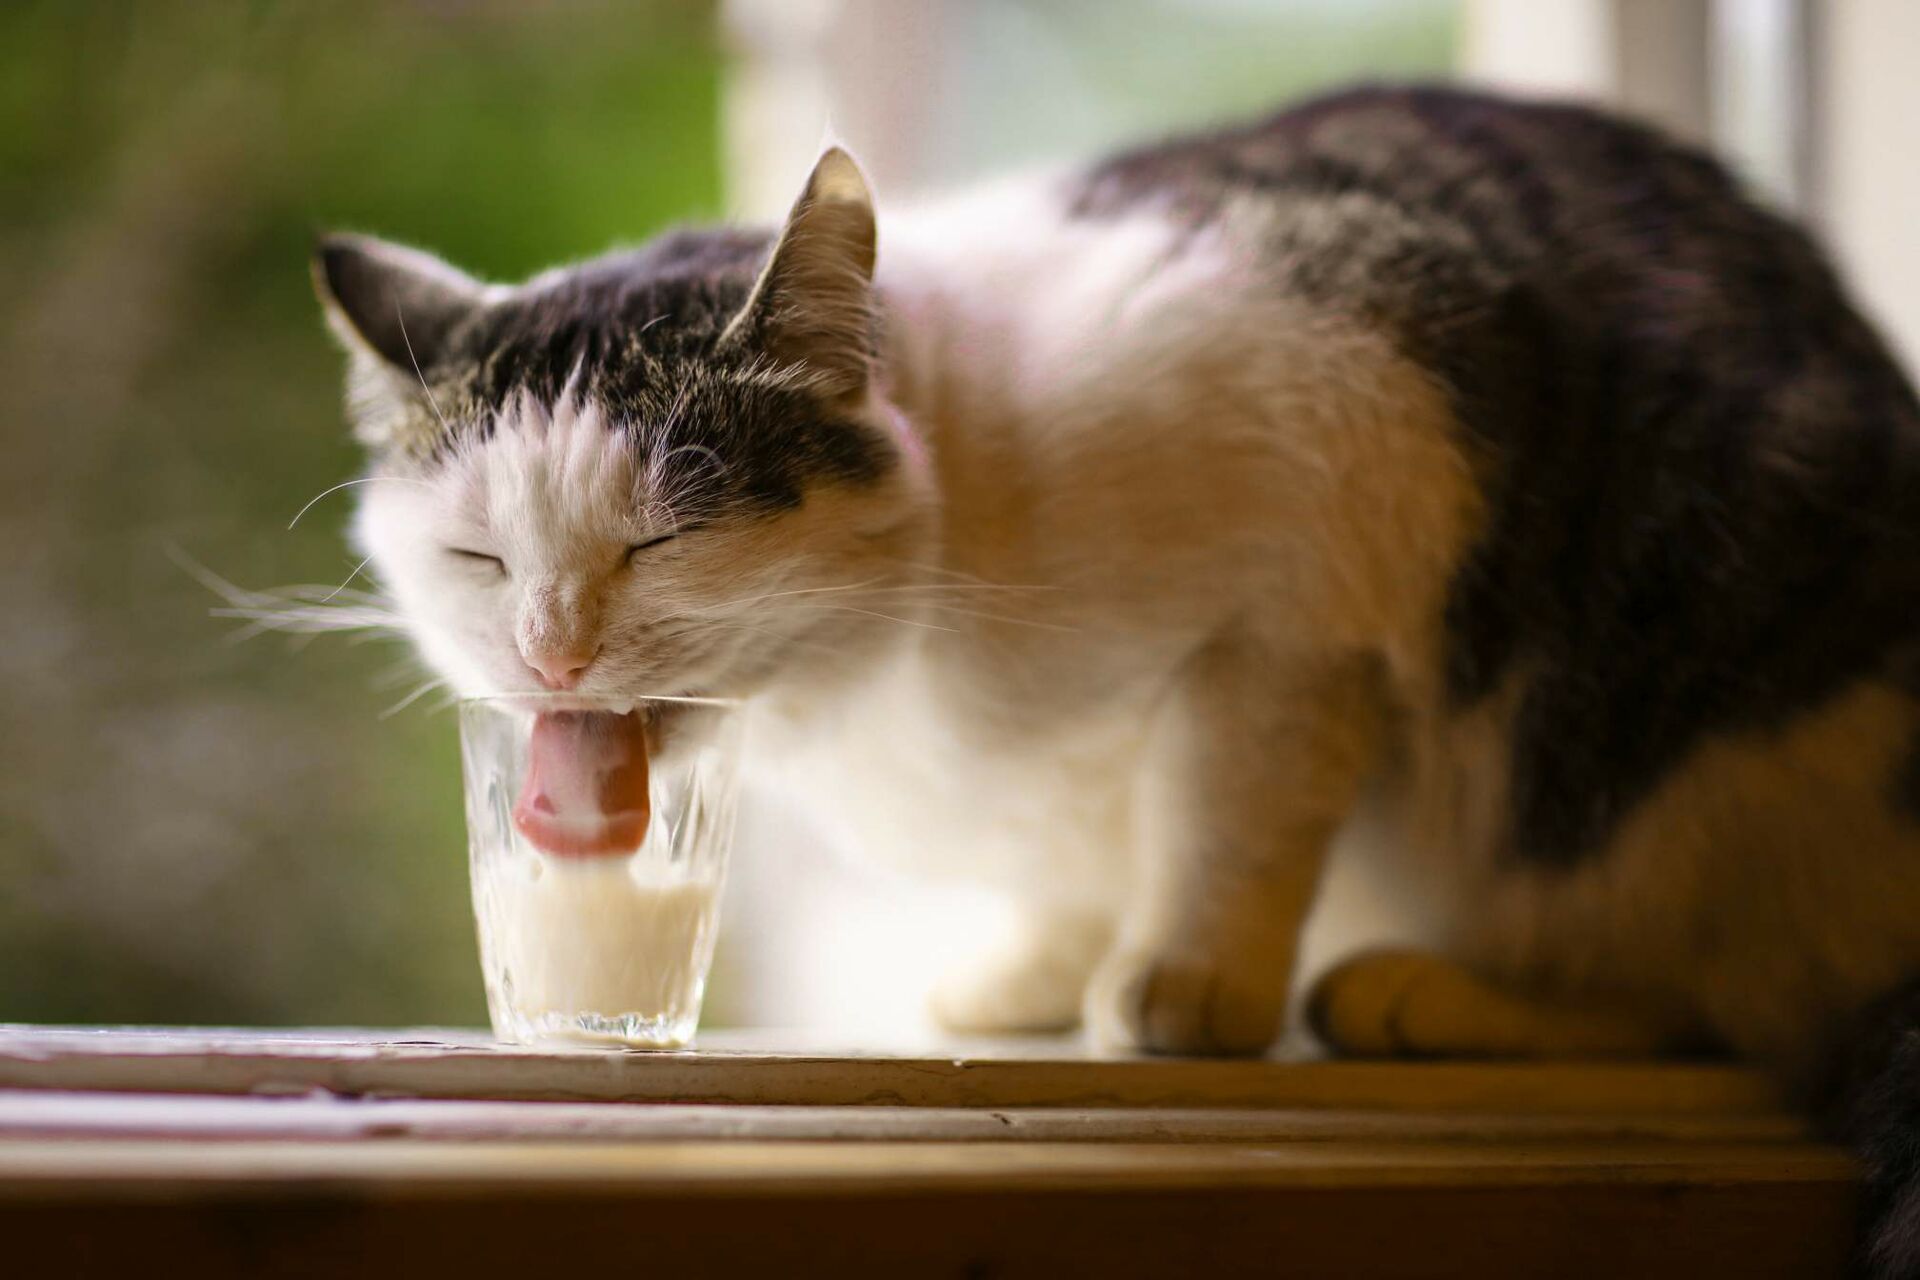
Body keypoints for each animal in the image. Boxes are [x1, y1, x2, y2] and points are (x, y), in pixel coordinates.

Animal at [311, 84, 1920, 1274]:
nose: (552, 649)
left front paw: (1185, 985)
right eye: (478, 557)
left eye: (657, 539)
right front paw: (1036, 972)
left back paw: (1426, 994)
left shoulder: (1307, 579)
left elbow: (1229, 812)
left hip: (1703, 753)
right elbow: (1077, 858)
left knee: (1715, 992)